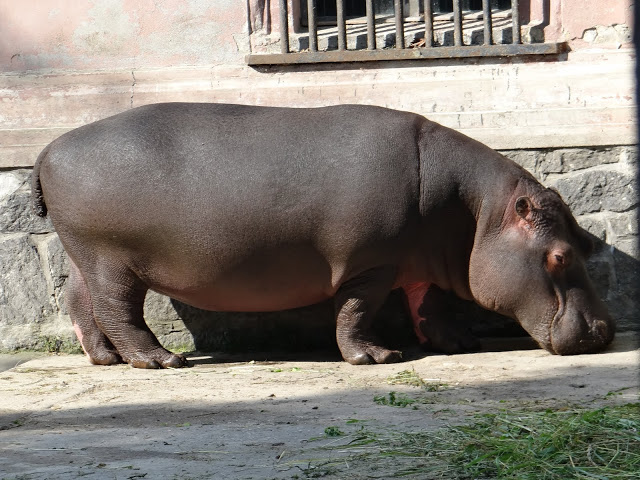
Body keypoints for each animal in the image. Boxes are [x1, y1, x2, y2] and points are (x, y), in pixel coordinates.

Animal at [31, 103, 614, 368]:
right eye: (560, 256)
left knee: (79, 299)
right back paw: (159, 361)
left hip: (85, 255)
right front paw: (377, 357)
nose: (605, 330)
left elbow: (430, 304)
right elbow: (357, 310)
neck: (479, 212)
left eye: (589, 244)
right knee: (117, 309)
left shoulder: (418, 262)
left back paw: (103, 360)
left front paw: (457, 344)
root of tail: (45, 149)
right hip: (113, 259)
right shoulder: (370, 264)